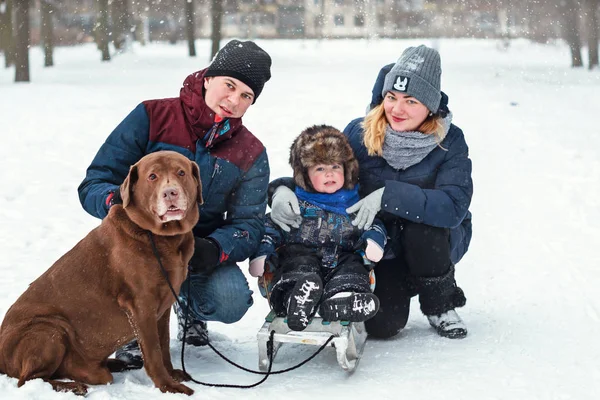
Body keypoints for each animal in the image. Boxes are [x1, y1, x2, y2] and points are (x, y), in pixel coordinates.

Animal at [0, 151, 202, 396]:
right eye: (152, 176)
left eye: (181, 172)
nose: (170, 192)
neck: (162, 239)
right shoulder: (141, 304)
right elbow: (153, 352)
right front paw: (168, 386)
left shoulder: (163, 306)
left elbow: (163, 346)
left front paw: (172, 374)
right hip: (50, 329)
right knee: (28, 379)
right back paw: (73, 386)